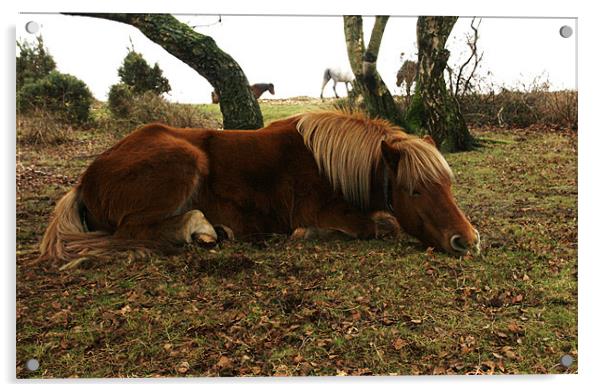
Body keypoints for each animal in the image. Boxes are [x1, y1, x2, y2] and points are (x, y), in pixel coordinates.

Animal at [38, 110, 478, 264]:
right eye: (415, 191)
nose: (467, 240)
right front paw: (306, 235)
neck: (327, 163)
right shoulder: (323, 210)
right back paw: (200, 228)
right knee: (132, 230)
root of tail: (86, 178)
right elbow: (381, 224)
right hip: (184, 161)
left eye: (447, 184)